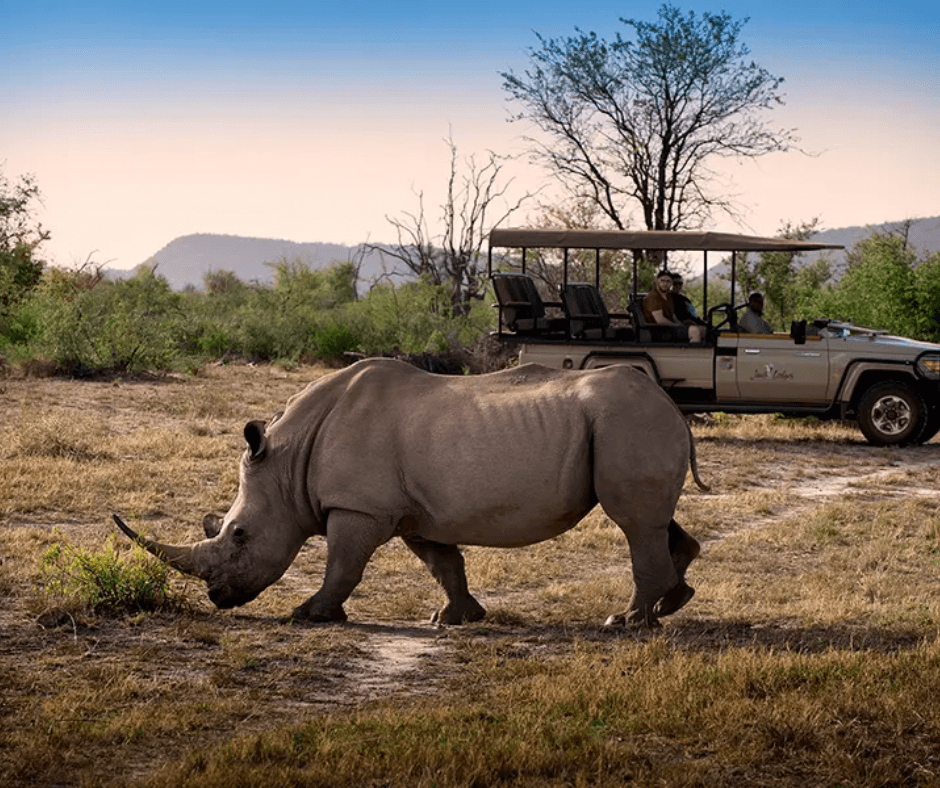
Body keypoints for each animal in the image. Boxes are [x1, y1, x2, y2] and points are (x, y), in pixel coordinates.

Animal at [114, 358, 707, 628]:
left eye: (238, 535)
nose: (217, 599)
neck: (287, 464)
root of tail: (669, 402)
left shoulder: (358, 507)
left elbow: (343, 566)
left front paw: (309, 615)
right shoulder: (414, 513)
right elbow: (444, 564)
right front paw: (456, 619)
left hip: (627, 422)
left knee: (634, 522)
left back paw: (624, 623)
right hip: (628, 425)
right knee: (653, 520)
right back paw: (669, 605)